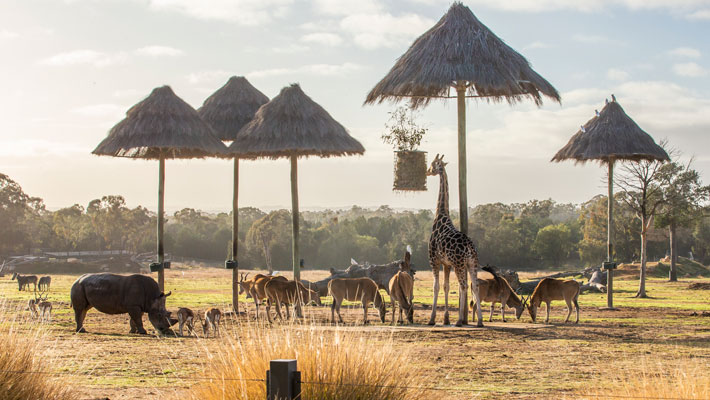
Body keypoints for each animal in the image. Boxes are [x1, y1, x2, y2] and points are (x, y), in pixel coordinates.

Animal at [426, 155, 486, 326]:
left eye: (433, 164)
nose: (427, 171)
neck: (440, 216)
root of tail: (470, 248)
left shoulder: (434, 260)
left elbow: (436, 286)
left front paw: (432, 319)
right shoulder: (446, 264)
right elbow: (446, 286)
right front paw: (446, 319)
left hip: (460, 264)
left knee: (464, 286)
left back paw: (460, 320)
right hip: (472, 263)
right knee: (475, 285)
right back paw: (480, 321)